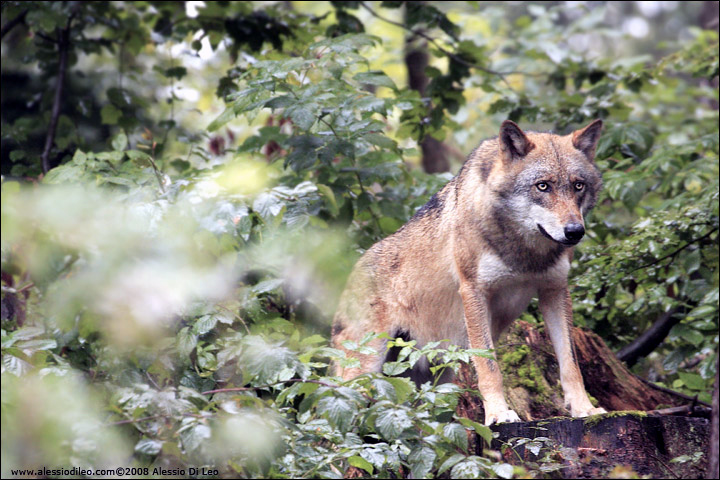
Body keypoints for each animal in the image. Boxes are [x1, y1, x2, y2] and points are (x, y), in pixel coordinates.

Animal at [331, 120, 608, 425]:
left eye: (578, 185)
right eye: (543, 186)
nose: (575, 231)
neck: (525, 253)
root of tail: (349, 278)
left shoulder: (555, 290)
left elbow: (570, 363)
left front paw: (584, 408)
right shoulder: (474, 291)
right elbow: (489, 366)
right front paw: (499, 414)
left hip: (432, 375)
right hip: (365, 369)